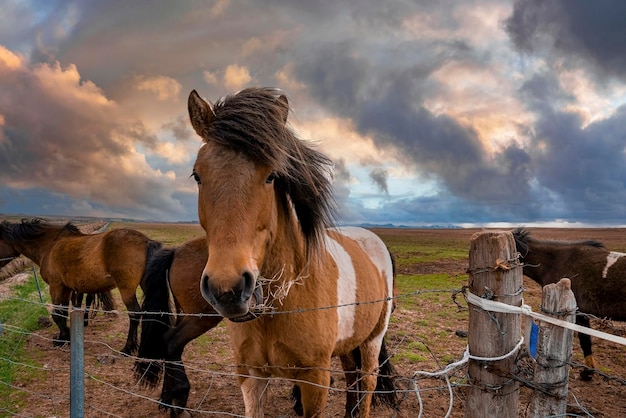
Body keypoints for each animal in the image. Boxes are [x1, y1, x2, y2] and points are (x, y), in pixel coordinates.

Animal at [0, 219, 161, 352]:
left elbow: (57, 314)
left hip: (126, 290)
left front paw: (63, 339)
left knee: (134, 314)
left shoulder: (56, 286)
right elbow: (64, 312)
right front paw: (64, 336)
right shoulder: (66, 288)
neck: (49, 245)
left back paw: (128, 348)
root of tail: (145, 241)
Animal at [188, 86, 398, 416]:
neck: (284, 302)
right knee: (352, 379)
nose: (228, 289)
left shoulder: (315, 381)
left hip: (372, 341)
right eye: (197, 175)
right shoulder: (250, 376)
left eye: (271, 175)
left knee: (366, 384)